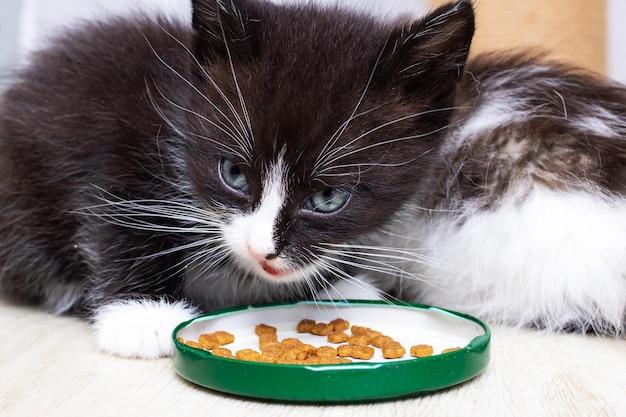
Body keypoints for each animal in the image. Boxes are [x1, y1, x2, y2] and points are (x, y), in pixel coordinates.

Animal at [0, 0, 620, 358]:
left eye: (328, 197)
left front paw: (339, 288)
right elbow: (114, 211)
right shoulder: (125, 133)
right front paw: (142, 316)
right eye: (233, 173)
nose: (264, 252)